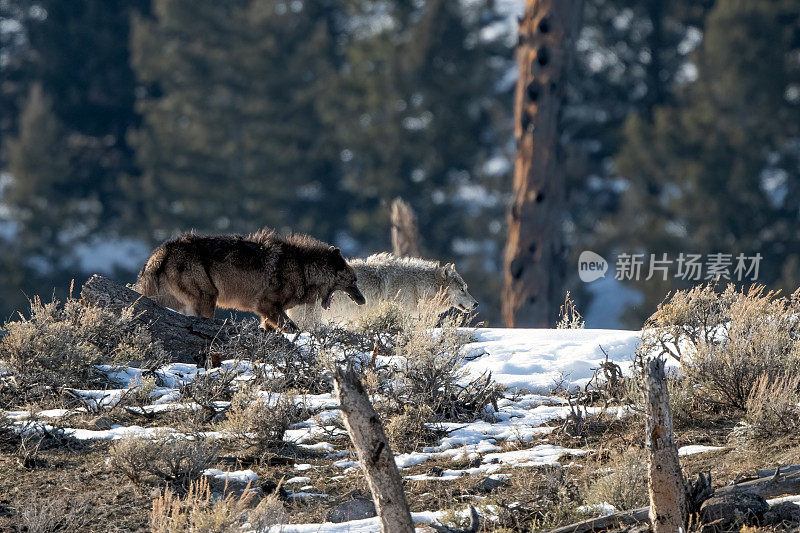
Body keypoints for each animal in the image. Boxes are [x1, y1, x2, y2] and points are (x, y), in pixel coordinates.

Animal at [135, 229, 366, 332]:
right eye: (353, 281)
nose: (363, 301)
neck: (303, 270)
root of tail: (163, 251)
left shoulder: (267, 314)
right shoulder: (267, 306)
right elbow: (294, 328)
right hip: (207, 300)